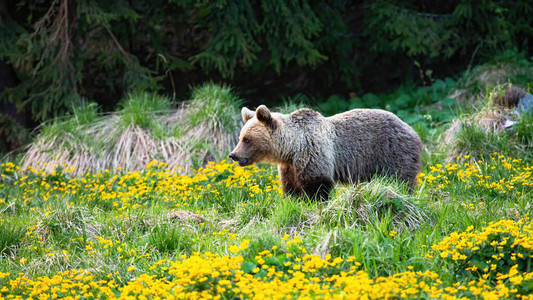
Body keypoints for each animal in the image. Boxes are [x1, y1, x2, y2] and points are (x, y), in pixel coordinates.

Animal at [227, 105, 422, 202]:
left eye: (247, 139)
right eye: (241, 137)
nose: (233, 155)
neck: (291, 148)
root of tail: (412, 130)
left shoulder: (313, 154)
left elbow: (317, 185)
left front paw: (314, 203)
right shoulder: (289, 167)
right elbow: (290, 188)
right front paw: (292, 201)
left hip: (393, 152)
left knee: (400, 179)